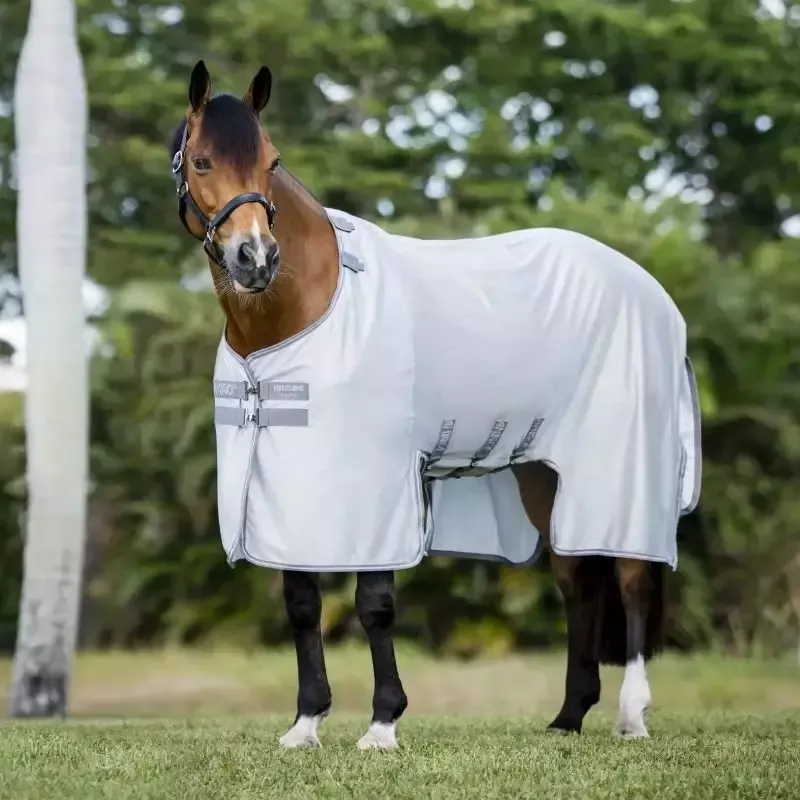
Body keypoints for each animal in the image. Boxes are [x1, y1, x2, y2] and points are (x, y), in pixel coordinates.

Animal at [168, 60, 701, 749]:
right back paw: (567, 717)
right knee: (577, 582)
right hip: (544, 473)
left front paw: (382, 725)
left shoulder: (375, 482)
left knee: (632, 578)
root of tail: (652, 292)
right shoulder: (289, 482)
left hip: (621, 470)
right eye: (202, 161)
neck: (311, 302)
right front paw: (306, 724)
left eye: (271, 160)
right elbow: (303, 605)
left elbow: (374, 606)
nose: (255, 259)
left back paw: (631, 716)